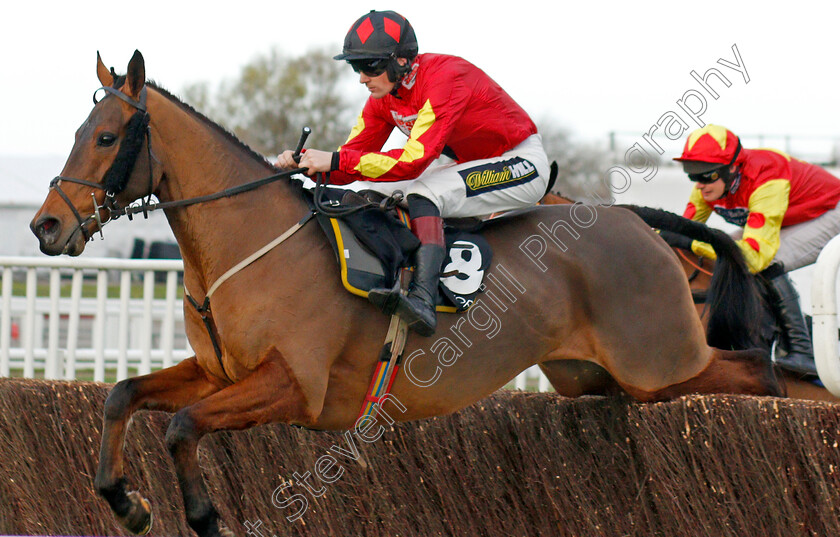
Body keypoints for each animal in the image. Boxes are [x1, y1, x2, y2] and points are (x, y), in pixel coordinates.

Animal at [31, 51, 780, 536]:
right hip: (597, 377)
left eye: (106, 137)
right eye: (76, 134)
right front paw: (125, 500)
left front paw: (206, 515)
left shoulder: (294, 386)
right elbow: (123, 394)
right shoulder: (220, 372)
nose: (45, 226)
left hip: (663, 361)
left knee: (761, 371)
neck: (253, 243)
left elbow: (183, 426)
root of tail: (635, 220)